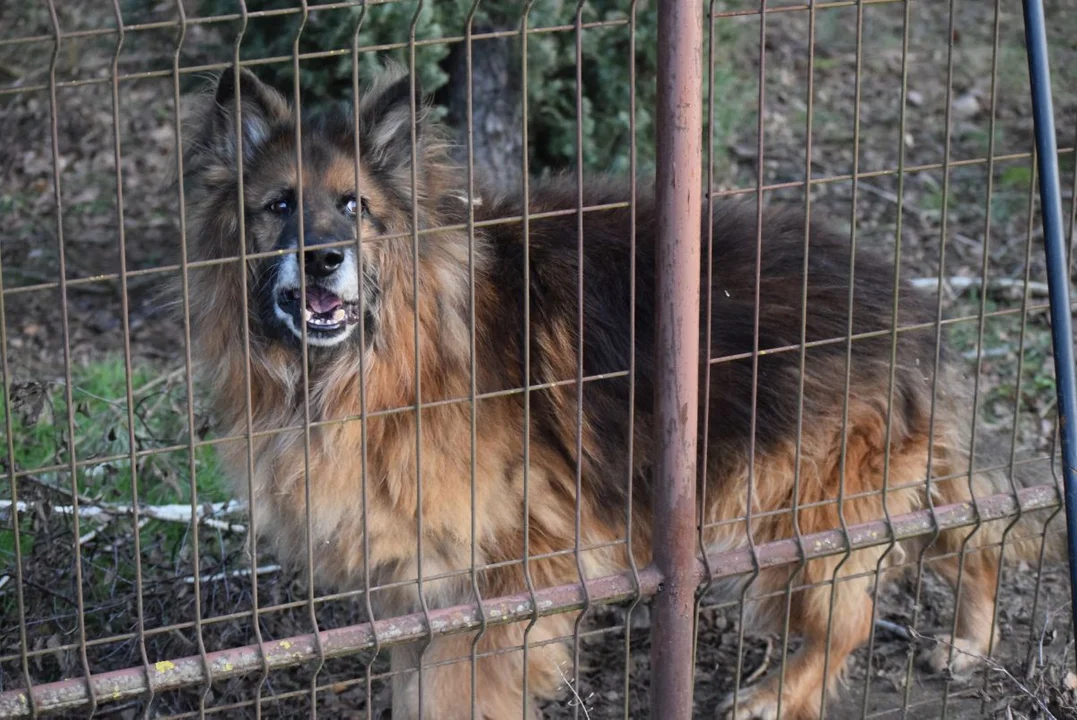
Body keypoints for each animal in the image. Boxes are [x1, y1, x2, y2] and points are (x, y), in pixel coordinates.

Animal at [183, 64, 1059, 714]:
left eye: (354, 207)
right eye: (279, 206)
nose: (323, 258)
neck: (380, 359)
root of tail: (905, 297)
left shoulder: (502, 578)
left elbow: (457, 694)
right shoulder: (416, 578)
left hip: (785, 506)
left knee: (849, 614)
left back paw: (777, 696)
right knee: (970, 534)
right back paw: (971, 642)